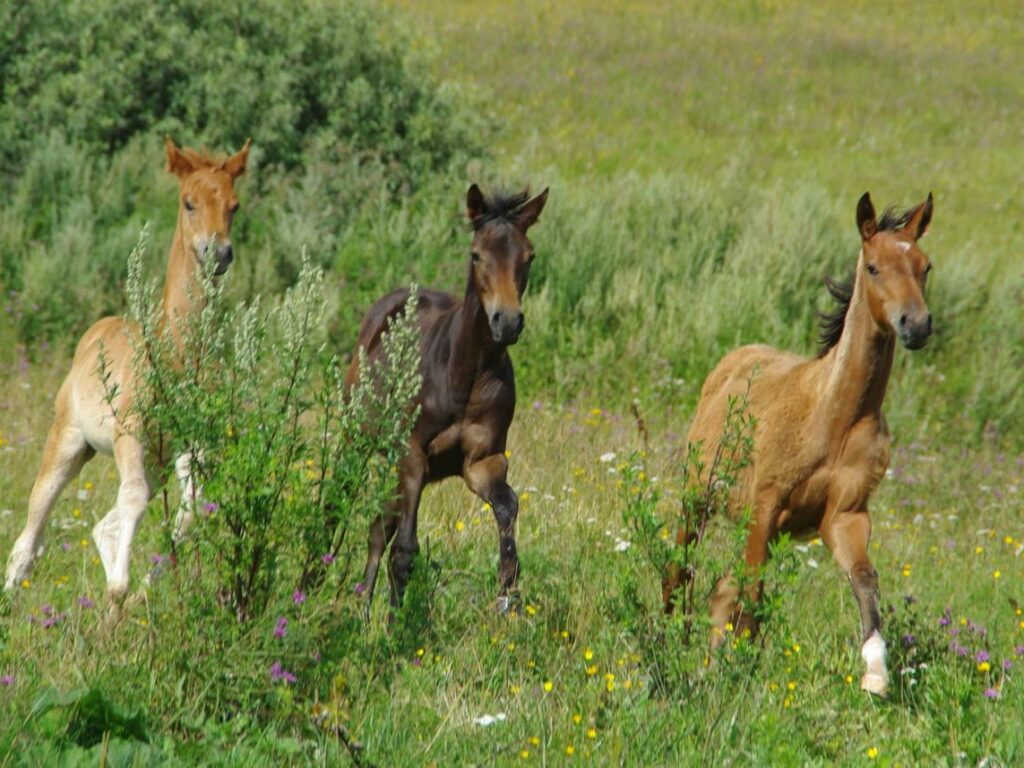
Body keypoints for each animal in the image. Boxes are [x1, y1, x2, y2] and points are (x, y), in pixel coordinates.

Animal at [5, 141, 249, 606]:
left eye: (235, 205)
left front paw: (138, 592)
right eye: (189, 202)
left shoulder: (192, 444)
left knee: (104, 524)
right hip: (70, 440)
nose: (220, 254)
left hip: (154, 463)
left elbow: (191, 511)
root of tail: (95, 332)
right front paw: (121, 589)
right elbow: (133, 500)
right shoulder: (129, 432)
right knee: (31, 530)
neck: (178, 352)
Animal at [348, 183, 548, 618]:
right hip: (361, 445)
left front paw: (507, 591)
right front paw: (394, 628)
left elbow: (508, 509)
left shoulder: (483, 462)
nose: (507, 322)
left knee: (379, 526)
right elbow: (405, 551)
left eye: (529, 256)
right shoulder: (412, 455)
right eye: (476, 254)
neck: (464, 374)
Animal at [663, 192, 937, 696]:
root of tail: (734, 359)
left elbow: (865, 579)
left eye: (924, 266)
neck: (835, 419)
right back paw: (668, 638)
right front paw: (738, 669)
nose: (916, 325)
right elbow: (751, 593)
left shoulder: (843, 515)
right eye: (873, 267)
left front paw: (876, 672)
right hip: (699, 497)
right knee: (681, 568)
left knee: (722, 586)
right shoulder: (766, 506)